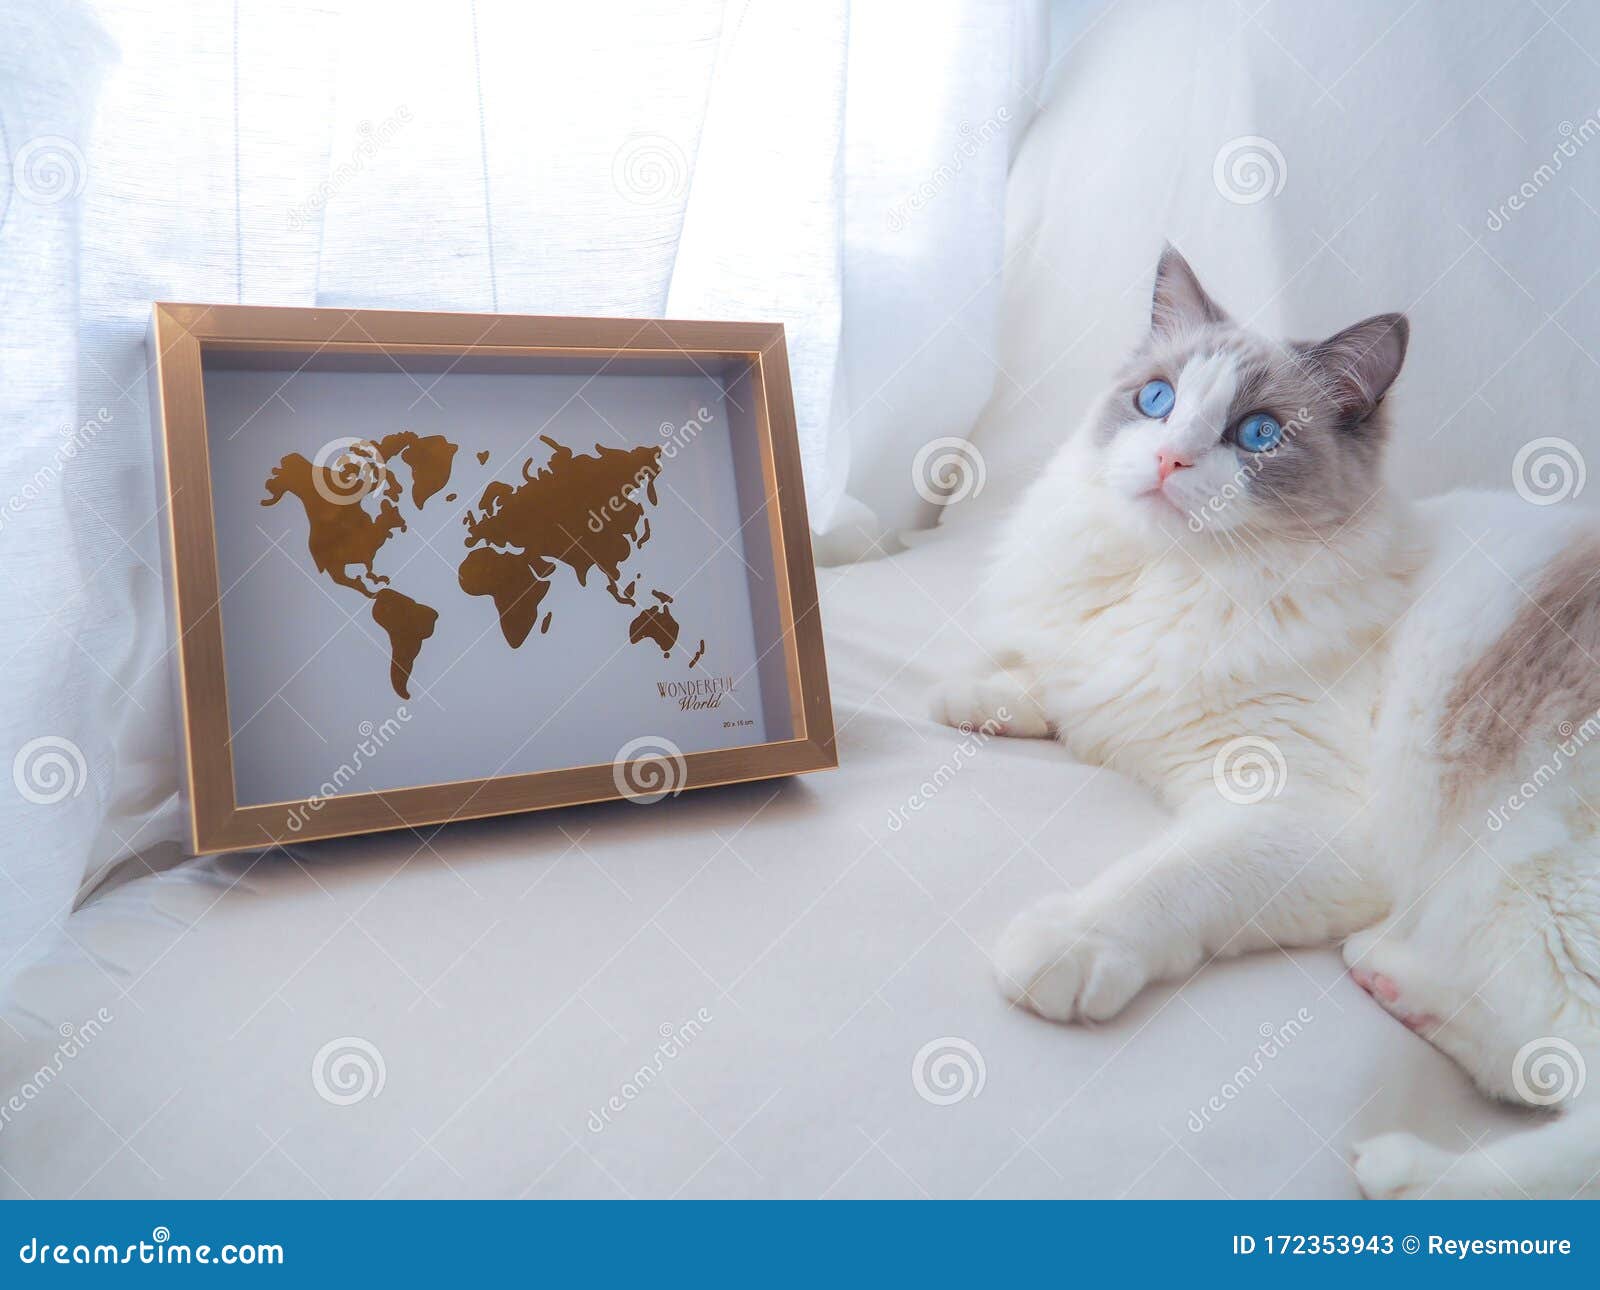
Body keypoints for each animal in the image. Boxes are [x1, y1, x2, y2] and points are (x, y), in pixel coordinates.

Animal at [934, 249, 1600, 1203]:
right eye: (1157, 400)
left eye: (1256, 435)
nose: (1170, 456)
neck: (1177, 579)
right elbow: (1058, 689)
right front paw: (979, 694)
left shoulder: (1298, 814)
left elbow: (1163, 880)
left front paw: (1067, 941)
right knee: (1534, 1065)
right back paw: (1393, 977)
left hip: (1528, 887)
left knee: (1577, 1115)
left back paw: (1408, 1174)